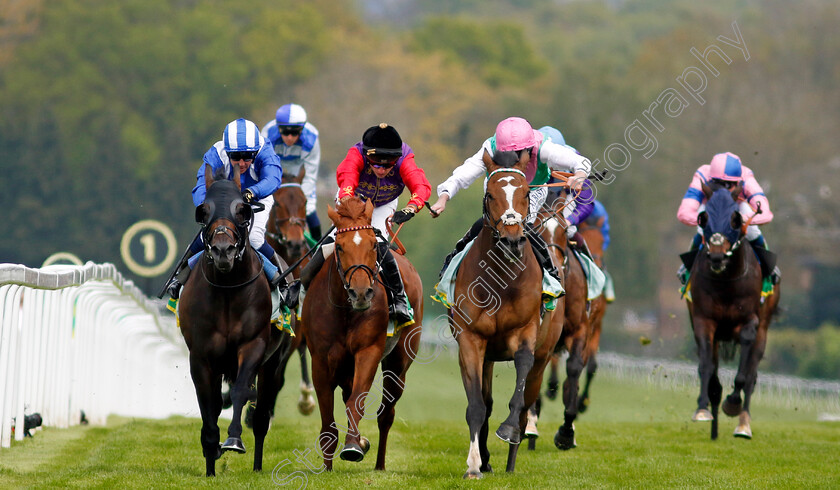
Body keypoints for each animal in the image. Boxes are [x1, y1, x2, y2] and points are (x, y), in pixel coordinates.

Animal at [300, 196, 424, 470]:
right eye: (339, 247)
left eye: (373, 246)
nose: (361, 293)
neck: (345, 308)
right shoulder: (320, 360)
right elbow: (328, 420)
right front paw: (327, 467)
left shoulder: (369, 350)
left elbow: (356, 400)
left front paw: (353, 447)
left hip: (399, 361)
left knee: (386, 413)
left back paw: (379, 464)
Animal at [450, 150, 560, 478]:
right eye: (490, 194)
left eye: (525, 193)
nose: (512, 240)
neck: (501, 280)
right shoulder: (471, 340)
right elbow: (477, 405)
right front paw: (474, 464)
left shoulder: (526, 333)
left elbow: (520, 384)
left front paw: (508, 430)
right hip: (488, 356)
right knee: (486, 401)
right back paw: (486, 460)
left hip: (544, 355)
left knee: (527, 402)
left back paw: (512, 461)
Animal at [688, 183, 780, 440]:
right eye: (703, 217)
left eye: (736, 219)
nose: (717, 255)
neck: (726, 281)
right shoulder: (704, 320)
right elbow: (707, 368)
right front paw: (702, 409)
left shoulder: (749, 321)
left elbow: (743, 376)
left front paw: (732, 403)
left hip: (764, 330)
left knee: (751, 377)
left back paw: (743, 425)